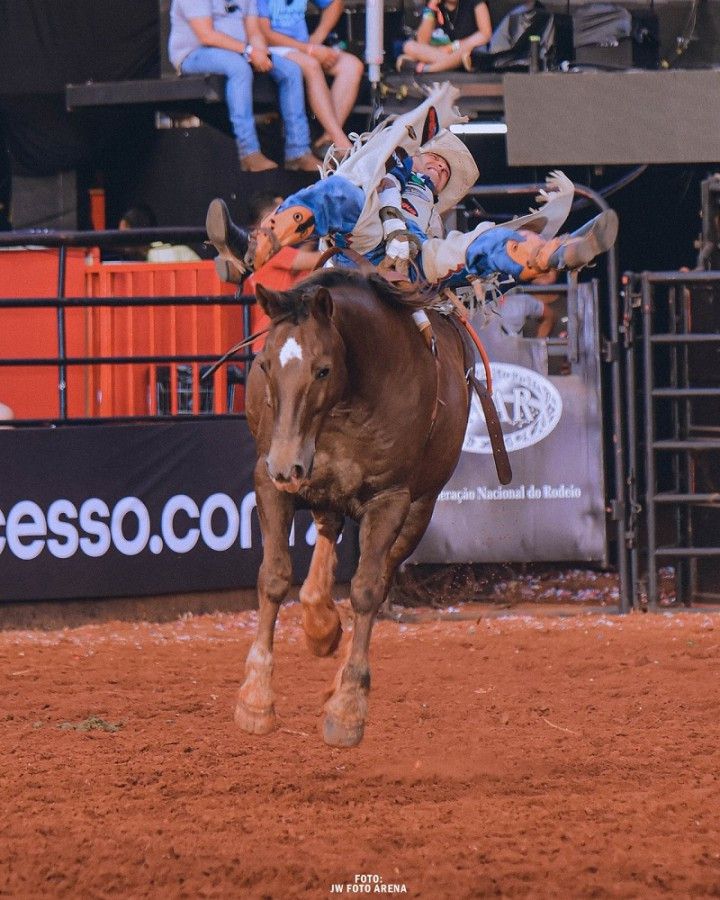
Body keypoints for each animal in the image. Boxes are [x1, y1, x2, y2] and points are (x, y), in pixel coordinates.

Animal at [236, 268, 479, 747]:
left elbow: (366, 591)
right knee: (327, 530)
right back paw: (318, 622)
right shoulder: (268, 482)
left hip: (418, 510)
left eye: (322, 369)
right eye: (265, 365)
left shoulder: (391, 500)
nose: (286, 464)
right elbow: (273, 578)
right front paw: (256, 699)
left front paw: (347, 707)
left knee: (379, 577)